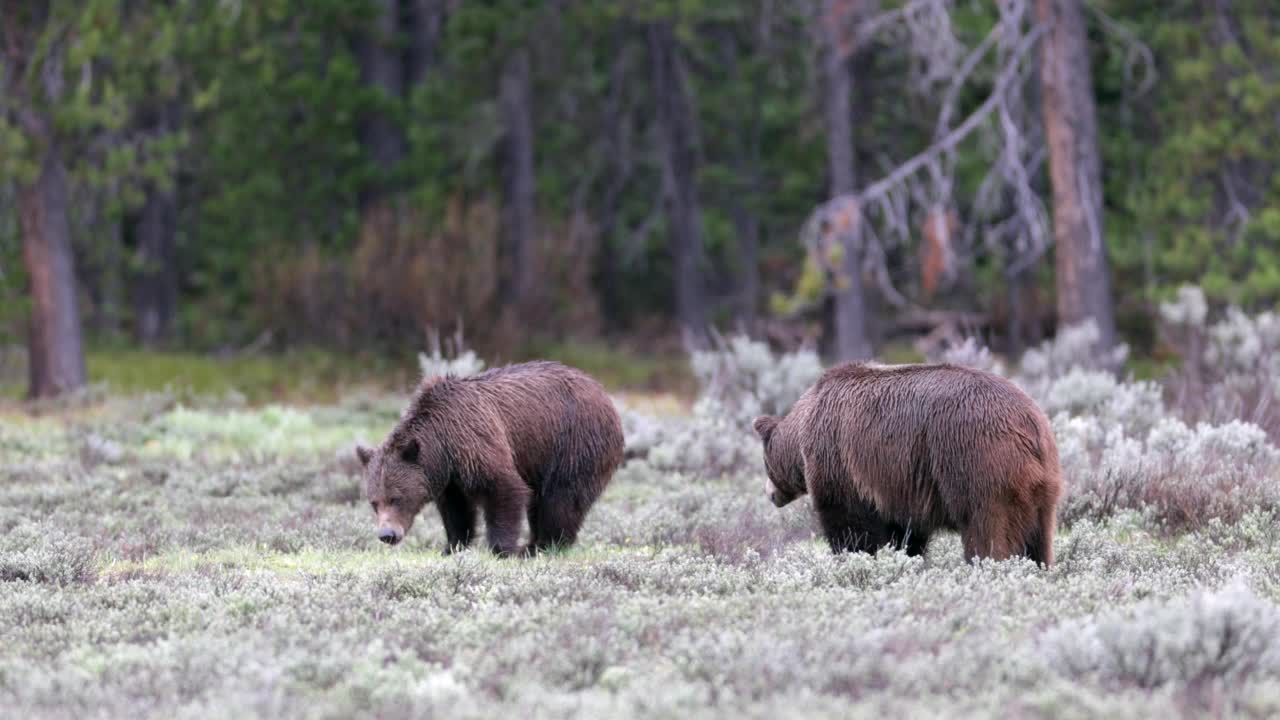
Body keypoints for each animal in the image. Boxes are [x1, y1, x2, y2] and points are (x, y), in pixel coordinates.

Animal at [355, 358, 624, 556]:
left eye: (396, 498)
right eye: (374, 502)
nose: (387, 535)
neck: (442, 444)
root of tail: (601, 391)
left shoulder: (476, 441)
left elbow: (504, 488)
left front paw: (501, 549)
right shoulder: (448, 477)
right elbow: (456, 510)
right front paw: (452, 546)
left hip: (573, 443)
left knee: (561, 498)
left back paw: (542, 545)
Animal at [752, 361, 1064, 563]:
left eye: (765, 465)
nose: (769, 494)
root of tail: (1029, 425)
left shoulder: (839, 458)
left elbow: (849, 522)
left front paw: (853, 557)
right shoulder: (899, 485)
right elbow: (905, 532)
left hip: (978, 462)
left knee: (987, 529)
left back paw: (988, 565)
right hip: (1044, 483)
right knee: (1039, 538)